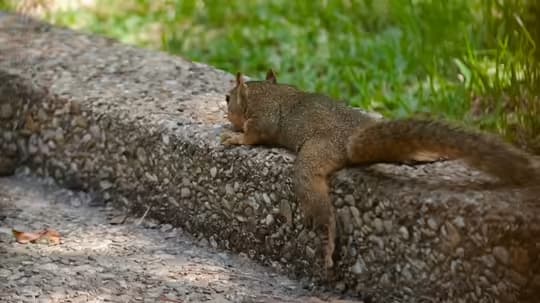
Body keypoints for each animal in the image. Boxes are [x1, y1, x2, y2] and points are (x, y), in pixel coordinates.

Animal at [220, 70, 540, 274]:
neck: (266, 91)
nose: (225, 107)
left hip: (316, 154)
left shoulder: (262, 119)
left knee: (313, 191)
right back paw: (425, 154)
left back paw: (328, 235)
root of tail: (352, 136)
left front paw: (235, 138)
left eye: (227, 98)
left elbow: (255, 135)